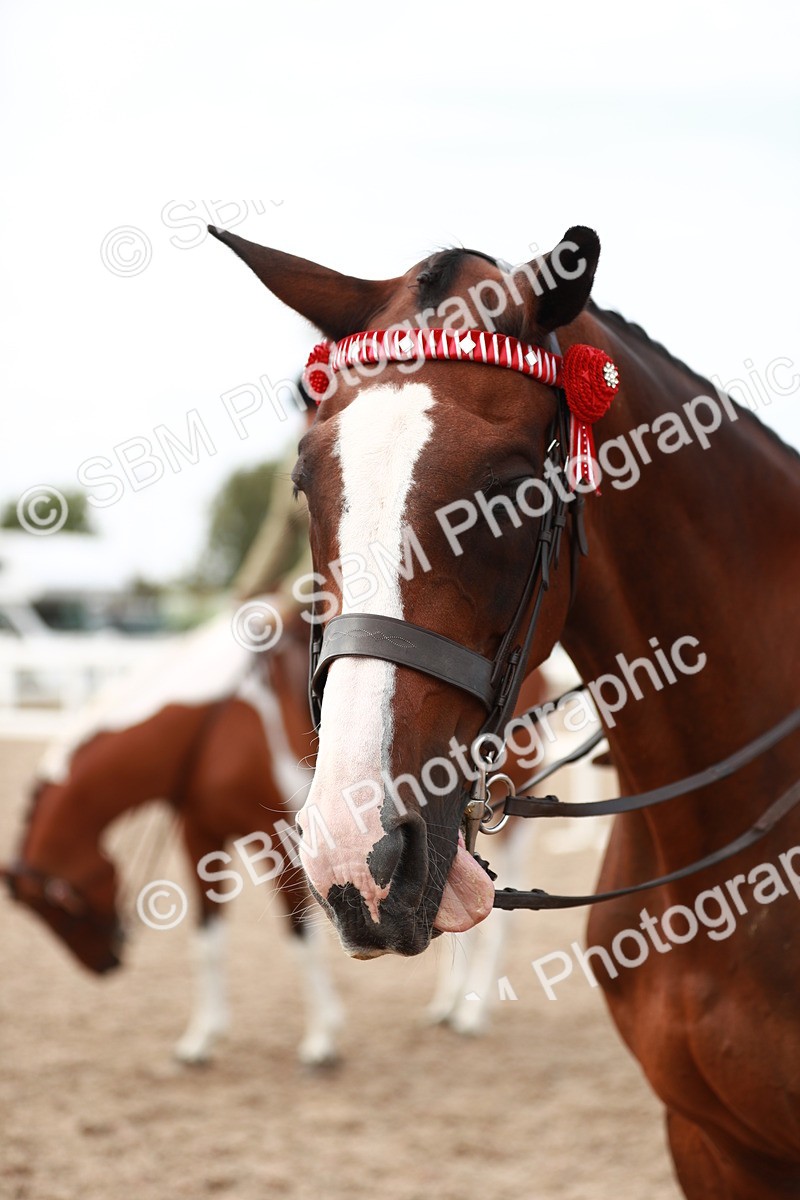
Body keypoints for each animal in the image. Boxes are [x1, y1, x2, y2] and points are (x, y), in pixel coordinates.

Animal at [2, 606, 343, 1066]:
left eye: (59, 904)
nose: (105, 964)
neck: (219, 730)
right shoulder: (198, 837)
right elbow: (207, 941)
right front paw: (201, 1038)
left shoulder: (282, 843)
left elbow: (301, 937)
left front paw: (322, 1038)